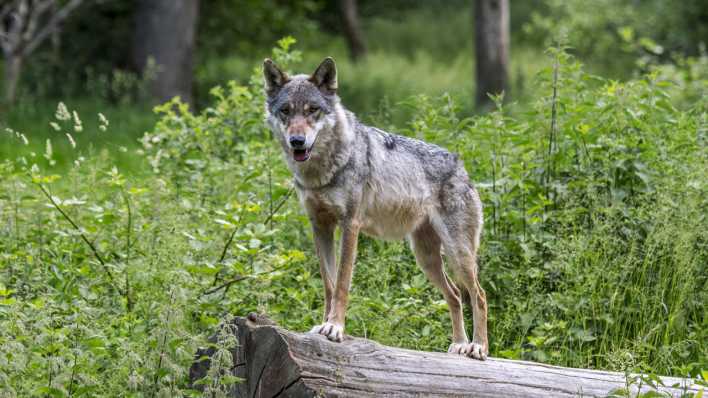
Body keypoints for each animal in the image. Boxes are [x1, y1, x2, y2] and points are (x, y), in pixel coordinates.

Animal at [262, 57, 490, 360]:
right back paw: (458, 345)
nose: (297, 141)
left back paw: (478, 347)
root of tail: (461, 165)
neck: (322, 171)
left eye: (312, 110)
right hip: (426, 258)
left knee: (479, 295)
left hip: (458, 254)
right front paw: (322, 325)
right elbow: (328, 284)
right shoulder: (320, 227)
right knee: (454, 295)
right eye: (286, 111)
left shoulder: (350, 225)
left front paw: (335, 328)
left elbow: (342, 283)